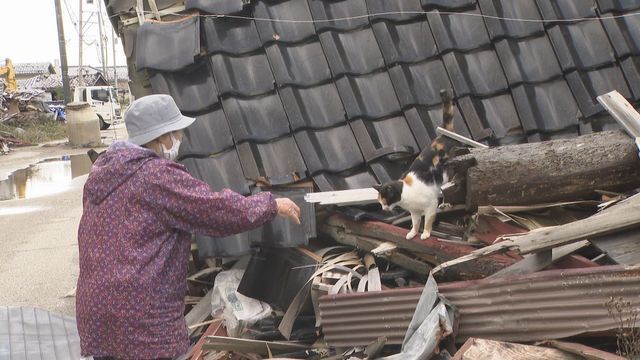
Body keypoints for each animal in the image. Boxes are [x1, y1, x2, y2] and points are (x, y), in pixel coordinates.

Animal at [372, 89, 458, 239]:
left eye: (385, 201)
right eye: (380, 202)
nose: (384, 208)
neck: (406, 193)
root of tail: (444, 135)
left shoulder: (430, 205)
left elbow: (428, 220)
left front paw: (426, 234)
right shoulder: (415, 211)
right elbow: (416, 222)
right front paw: (412, 233)